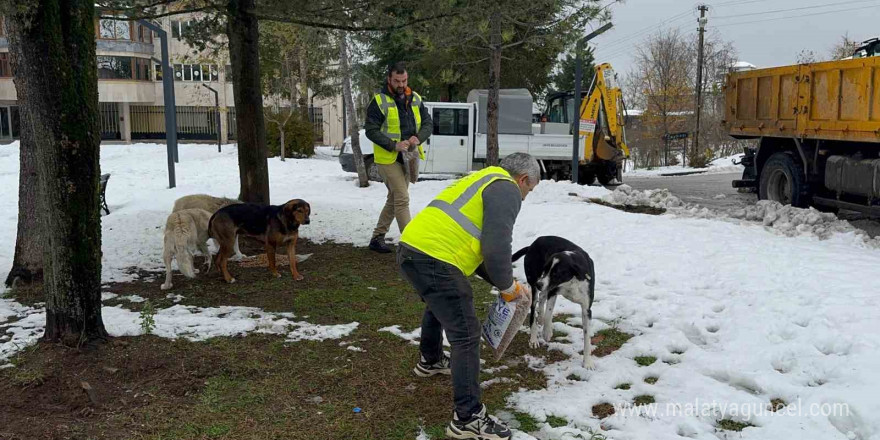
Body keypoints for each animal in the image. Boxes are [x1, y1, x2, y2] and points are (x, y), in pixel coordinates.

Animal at [508, 237, 600, 368]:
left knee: (542, 298)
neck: (571, 281)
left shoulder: (586, 308)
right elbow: (548, 314)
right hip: (534, 286)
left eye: (556, 273)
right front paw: (547, 333)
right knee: (533, 311)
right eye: (546, 269)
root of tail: (531, 245)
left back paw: (540, 318)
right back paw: (534, 339)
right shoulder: (552, 292)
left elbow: (587, 337)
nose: (539, 284)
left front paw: (587, 362)